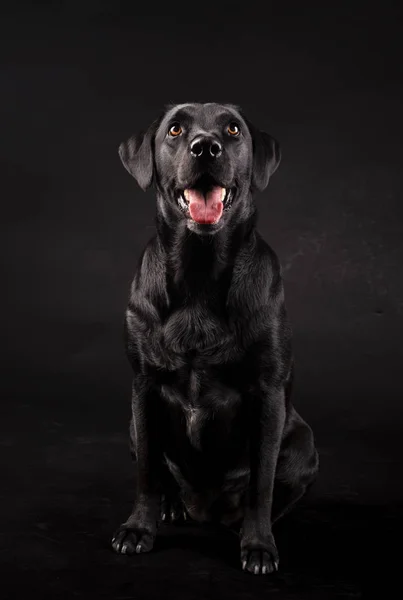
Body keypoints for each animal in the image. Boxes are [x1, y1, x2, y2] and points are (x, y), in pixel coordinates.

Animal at [110, 103, 318, 576]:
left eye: (233, 129)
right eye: (174, 129)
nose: (205, 147)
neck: (199, 272)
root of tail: (205, 507)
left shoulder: (268, 394)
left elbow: (262, 483)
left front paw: (258, 545)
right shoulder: (143, 386)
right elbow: (147, 472)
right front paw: (138, 528)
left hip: (303, 441)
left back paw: (240, 524)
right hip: (132, 423)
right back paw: (173, 506)